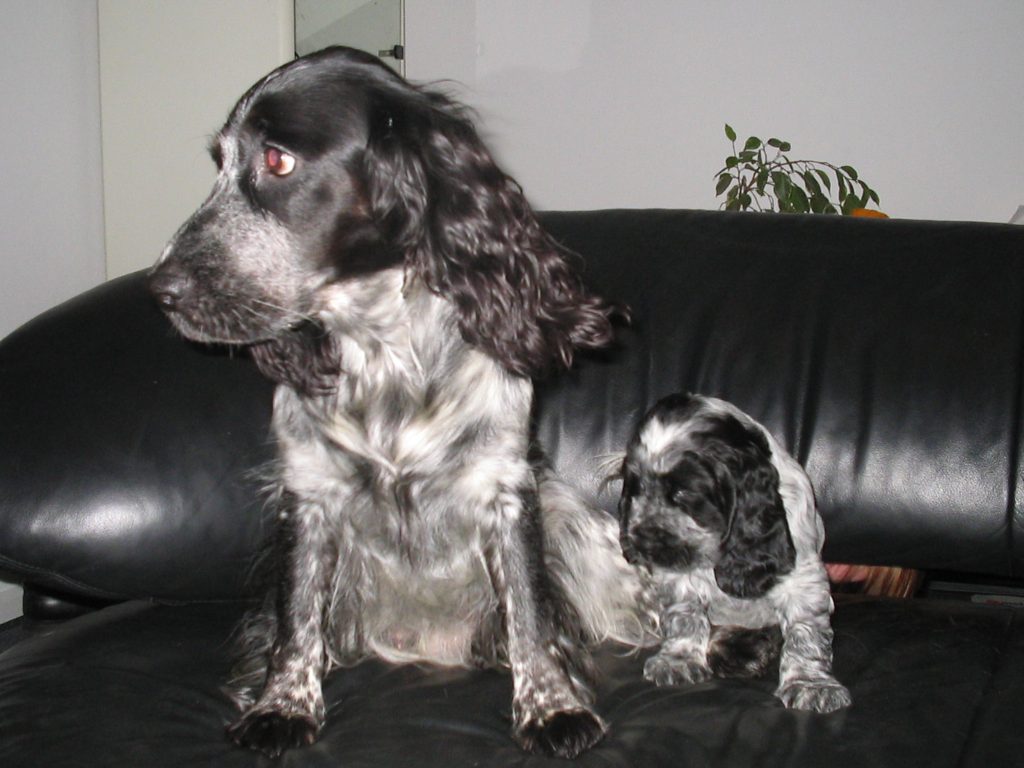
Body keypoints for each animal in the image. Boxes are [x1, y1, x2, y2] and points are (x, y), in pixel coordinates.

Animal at [148, 46, 651, 757]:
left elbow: (530, 612)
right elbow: (296, 621)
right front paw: (282, 706)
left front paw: (552, 707)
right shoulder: (308, 495)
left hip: (576, 524)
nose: (159, 290)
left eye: (278, 160)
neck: (383, 355)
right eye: (218, 161)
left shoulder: (507, 489)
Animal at [614, 397, 847, 716]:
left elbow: (805, 631)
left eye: (684, 493)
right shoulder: (677, 574)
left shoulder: (802, 578)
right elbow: (684, 615)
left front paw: (810, 684)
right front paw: (678, 659)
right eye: (636, 487)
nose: (641, 540)